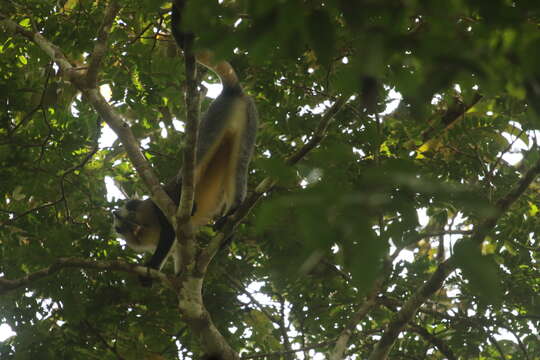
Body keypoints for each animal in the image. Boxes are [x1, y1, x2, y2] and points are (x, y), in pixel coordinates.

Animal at [112, 1, 258, 286]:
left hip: (213, 120)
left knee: (197, 159)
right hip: (249, 118)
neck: (147, 221)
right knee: (238, 168)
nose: (124, 222)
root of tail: (231, 92)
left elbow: (172, 228)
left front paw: (152, 267)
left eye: (126, 212)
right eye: (120, 229)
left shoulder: (161, 205)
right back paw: (231, 219)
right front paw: (178, 275)